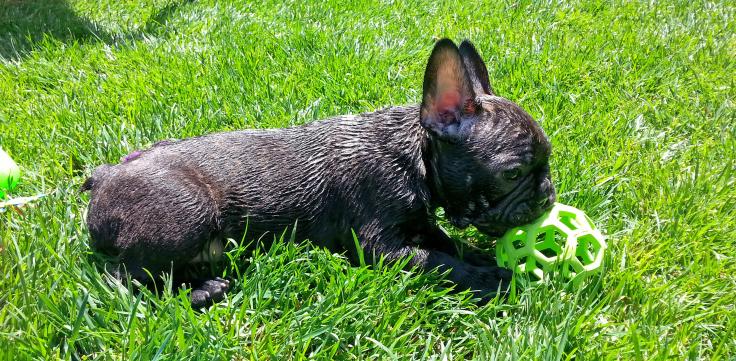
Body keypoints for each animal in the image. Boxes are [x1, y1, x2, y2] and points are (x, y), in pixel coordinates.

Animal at [83, 39, 556, 306]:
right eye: (513, 173)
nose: (547, 194)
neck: (414, 159)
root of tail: (103, 176)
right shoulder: (380, 246)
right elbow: (435, 262)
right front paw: (486, 277)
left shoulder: (419, 222)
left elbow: (447, 244)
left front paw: (479, 257)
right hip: (187, 214)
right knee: (126, 278)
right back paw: (196, 292)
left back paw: (203, 287)